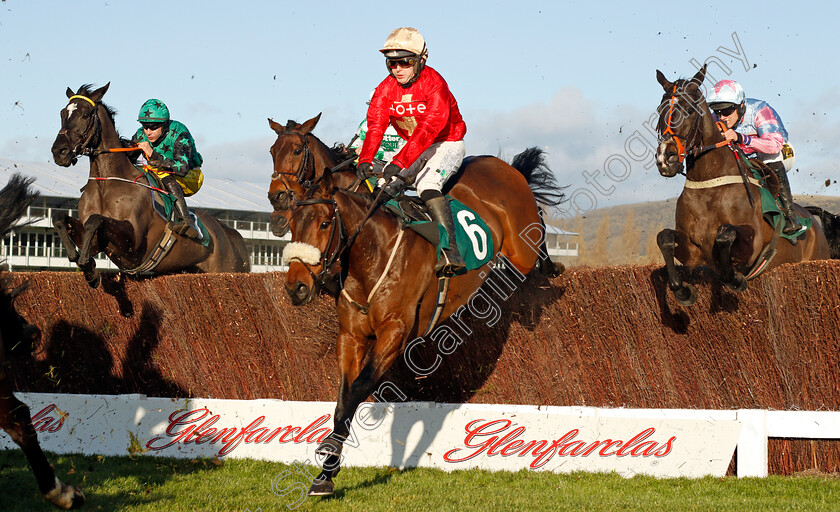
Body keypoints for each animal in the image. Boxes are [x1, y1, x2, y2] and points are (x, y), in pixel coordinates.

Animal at [50, 82, 249, 286]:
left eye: (85, 114)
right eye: (62, 113)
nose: (59, 151)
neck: (105, 185)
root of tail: (230, 235)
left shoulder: (134, 242)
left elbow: (95, 220)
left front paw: (87, 265)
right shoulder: (100, 241)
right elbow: (59, 218)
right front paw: (81, 261)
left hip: (226, 270)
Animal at [282, 145, 564, 496]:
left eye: (323, 223)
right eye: (292, 224)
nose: (296, 287)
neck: (373, 255)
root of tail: (503, 166)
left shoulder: (394, 333)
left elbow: (360, 388)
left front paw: (330, 453)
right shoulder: (350, 337)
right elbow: (343, 397)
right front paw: (326, 474)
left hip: (522, 248)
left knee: (536, 232)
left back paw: (551, 267)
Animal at [656, 63, 828, 304]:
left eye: (690, 110)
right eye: (659, 111)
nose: (665, 158)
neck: (709, 183)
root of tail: (813, 222)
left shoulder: (751, 246)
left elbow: (725, 234)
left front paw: (734, 278)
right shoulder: (693, 250)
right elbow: (664, 237)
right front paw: (683, 290)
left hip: (818, 258)